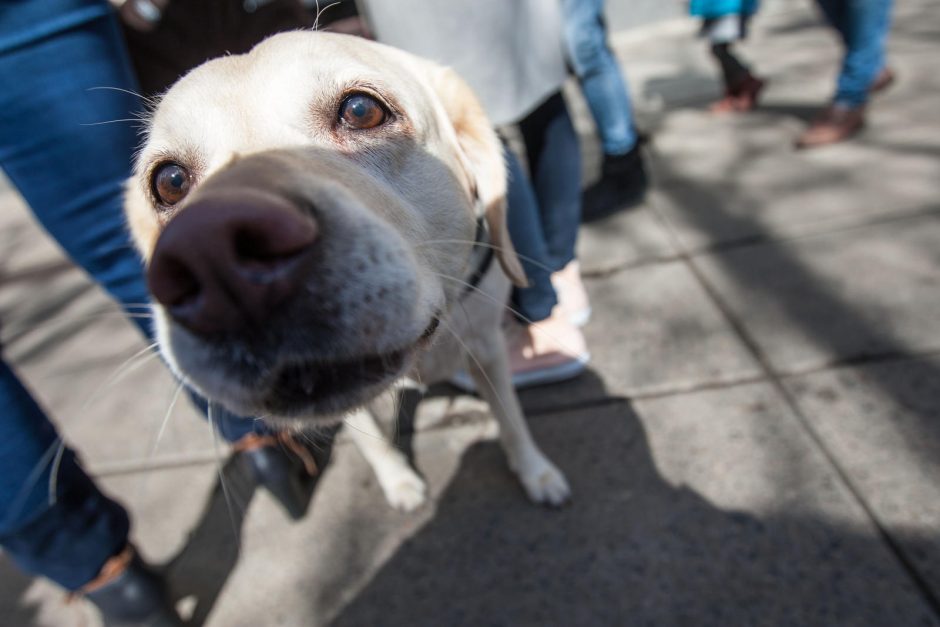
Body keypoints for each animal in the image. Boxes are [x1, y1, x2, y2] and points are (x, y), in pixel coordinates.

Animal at [122, 30, 568, 510]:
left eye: (360, 111)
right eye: (170, 182)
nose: (211, 253)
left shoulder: (488, 345)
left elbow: (511, 416)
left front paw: (536, 472)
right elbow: (373, 442)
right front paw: (398, 481)